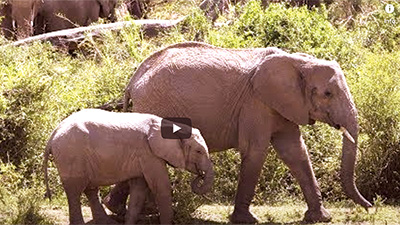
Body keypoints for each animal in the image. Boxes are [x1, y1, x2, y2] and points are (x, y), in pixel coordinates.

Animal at [43, 108, 216, 223]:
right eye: (199, 151)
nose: (200, 175)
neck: (173, 126)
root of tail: (53, 134)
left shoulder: (144, 157)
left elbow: (139, 189)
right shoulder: (149, 154)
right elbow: (161, 186)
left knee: (89, 189)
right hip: (71, 155)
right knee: (74, 191)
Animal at [104, 41, 372, 222]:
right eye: (328, 94)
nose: (371, 206)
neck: (297, 61)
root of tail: (133, 80)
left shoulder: (282, 105)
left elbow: (295, 151)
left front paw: (320, 218)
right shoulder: (256, 103)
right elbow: (256, 150)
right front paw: (245, 220)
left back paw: (118, 209)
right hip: (154, 104)